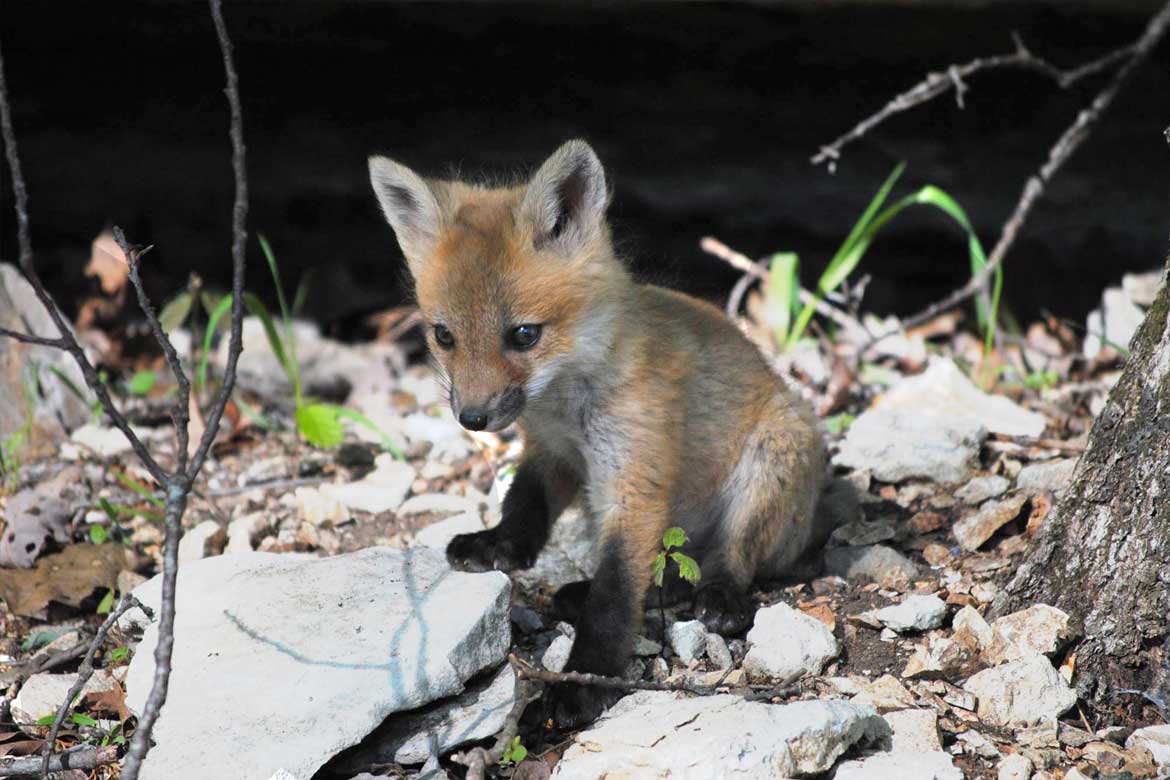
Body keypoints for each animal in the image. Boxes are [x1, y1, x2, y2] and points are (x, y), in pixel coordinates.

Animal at [369, 138, 837, 725]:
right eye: (444, 336)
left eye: (524, 335)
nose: (472, 418)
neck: (566, 405)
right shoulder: (554, 451)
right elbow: (525, 505)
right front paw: (497, 543)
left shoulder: (633, 481)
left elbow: (614, 597)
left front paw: (585, 682)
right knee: (664, 580)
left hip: (773, 458)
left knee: (730, 559)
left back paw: (721, 598)